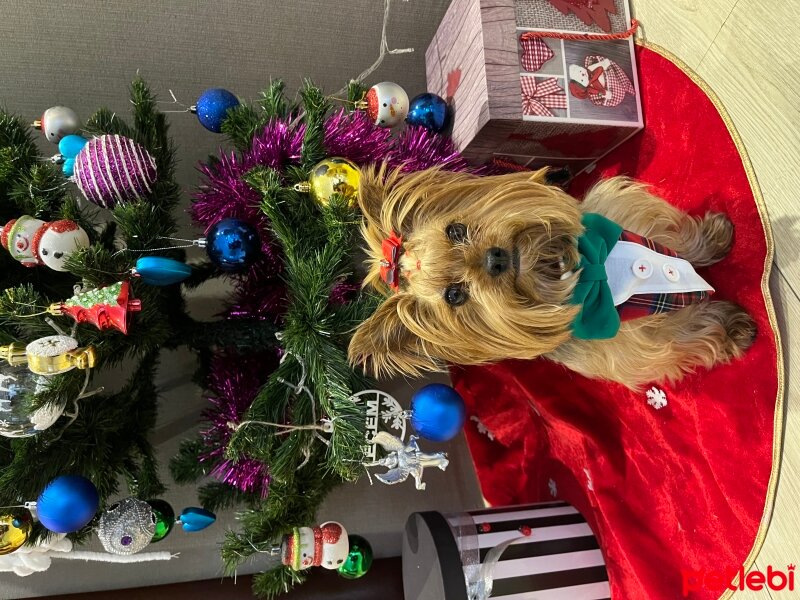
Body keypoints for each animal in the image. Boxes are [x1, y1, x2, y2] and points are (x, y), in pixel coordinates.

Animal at [350, 165, 756, 390]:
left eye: (455, 230)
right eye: (454, 295)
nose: (495, 258)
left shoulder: (631, 219)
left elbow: (676, 235)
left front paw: (714, 238)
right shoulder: (635, 341)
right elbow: (685, 333)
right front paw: (733, 327)